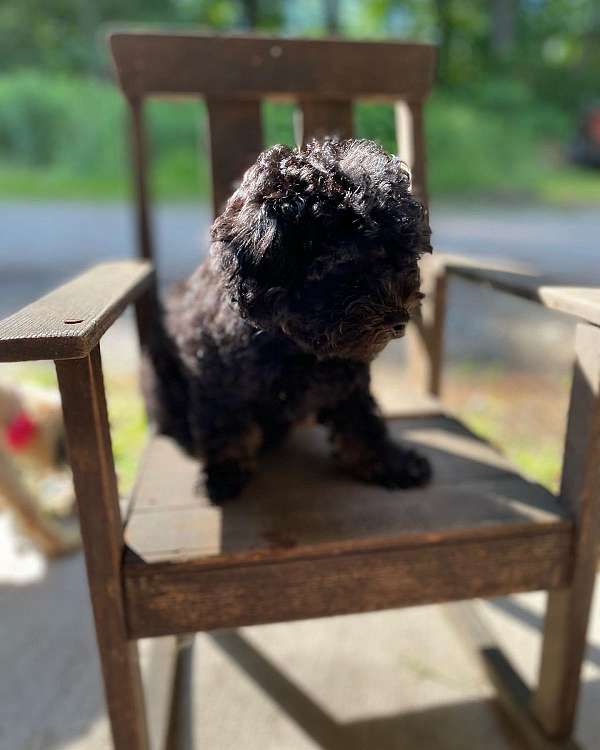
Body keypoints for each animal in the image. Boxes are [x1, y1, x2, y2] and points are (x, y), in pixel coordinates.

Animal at [148, 138, 434, 502]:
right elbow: (225, 424)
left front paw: (389, 462)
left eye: (405, 257)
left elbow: (361, 419)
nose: (399, 320)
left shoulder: (348, 377)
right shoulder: (216, 375)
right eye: (347, 264)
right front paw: (225, 474)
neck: (295, 345)